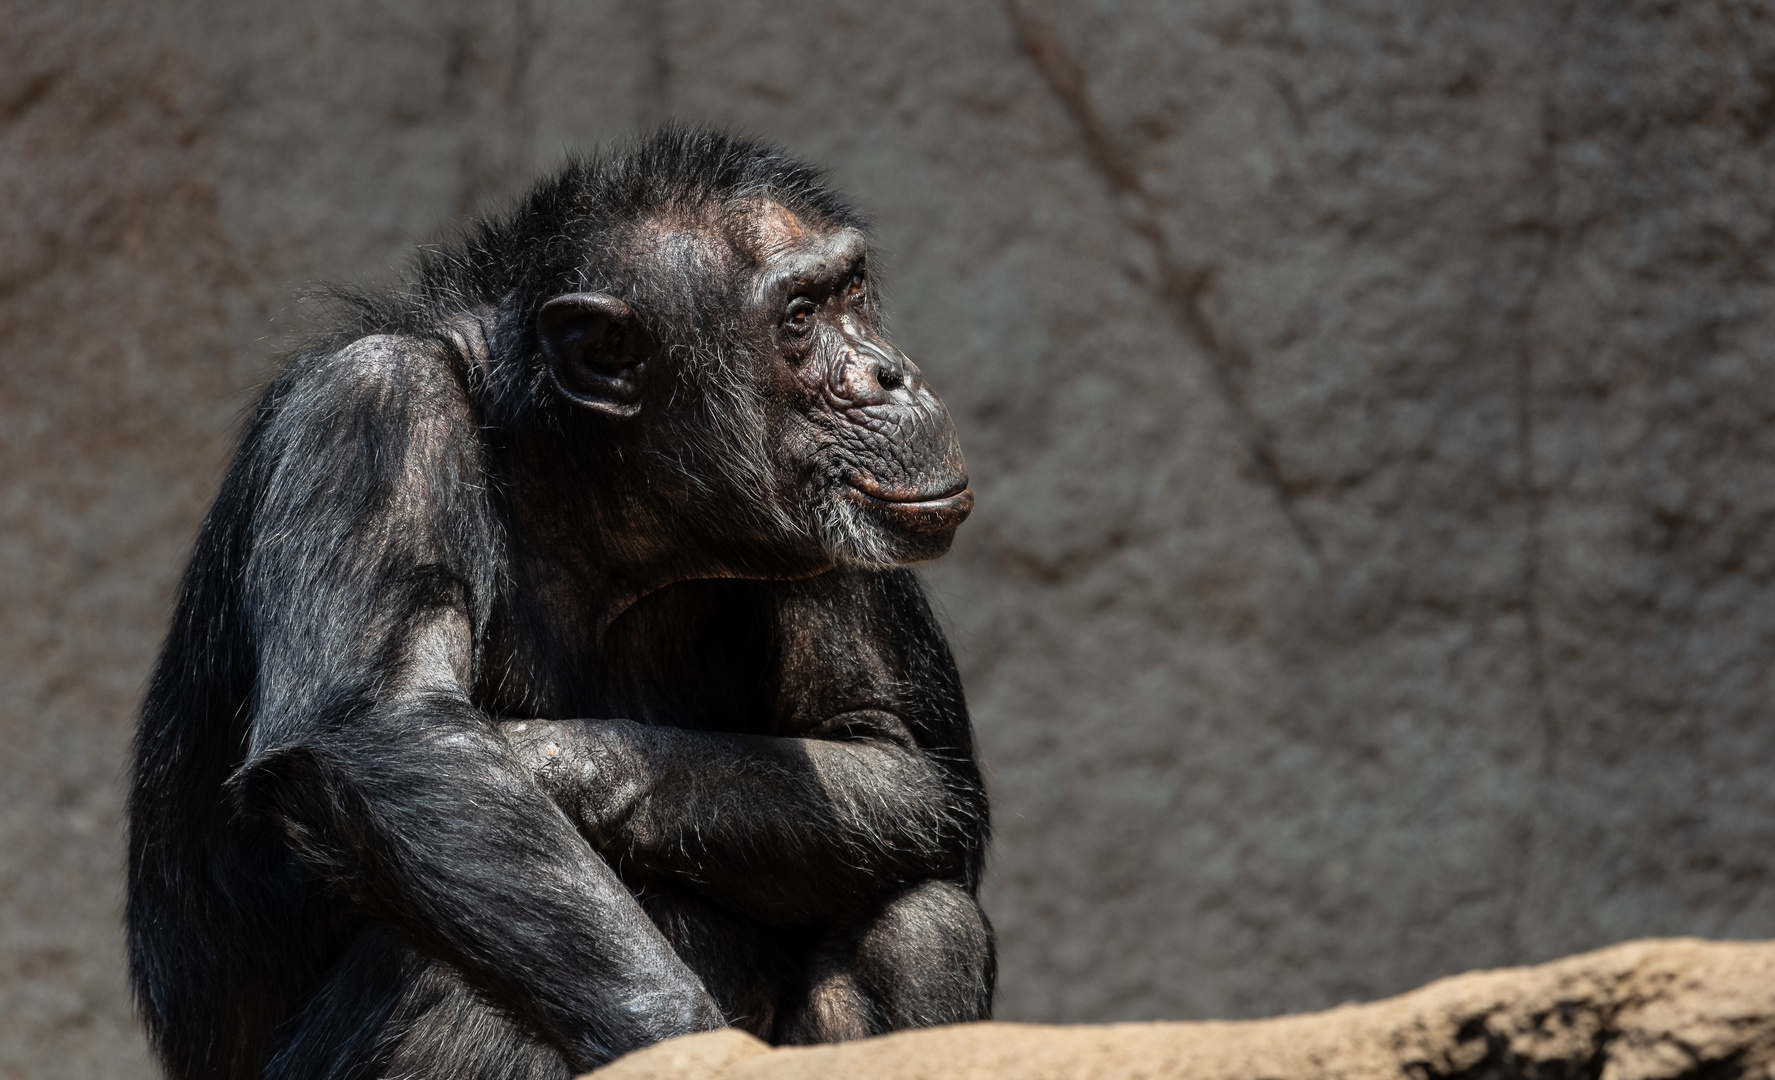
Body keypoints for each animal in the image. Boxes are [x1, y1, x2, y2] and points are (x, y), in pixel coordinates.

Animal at [131, 128, 994, 1080]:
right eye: (799, 318)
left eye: (852, 290)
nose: (889, 375)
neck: (582, 481)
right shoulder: (371, 407)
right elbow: (381, 723)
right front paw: (680, 1045)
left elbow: (895, 755)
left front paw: (545, 758)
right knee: (447, 976)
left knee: (923, 926)